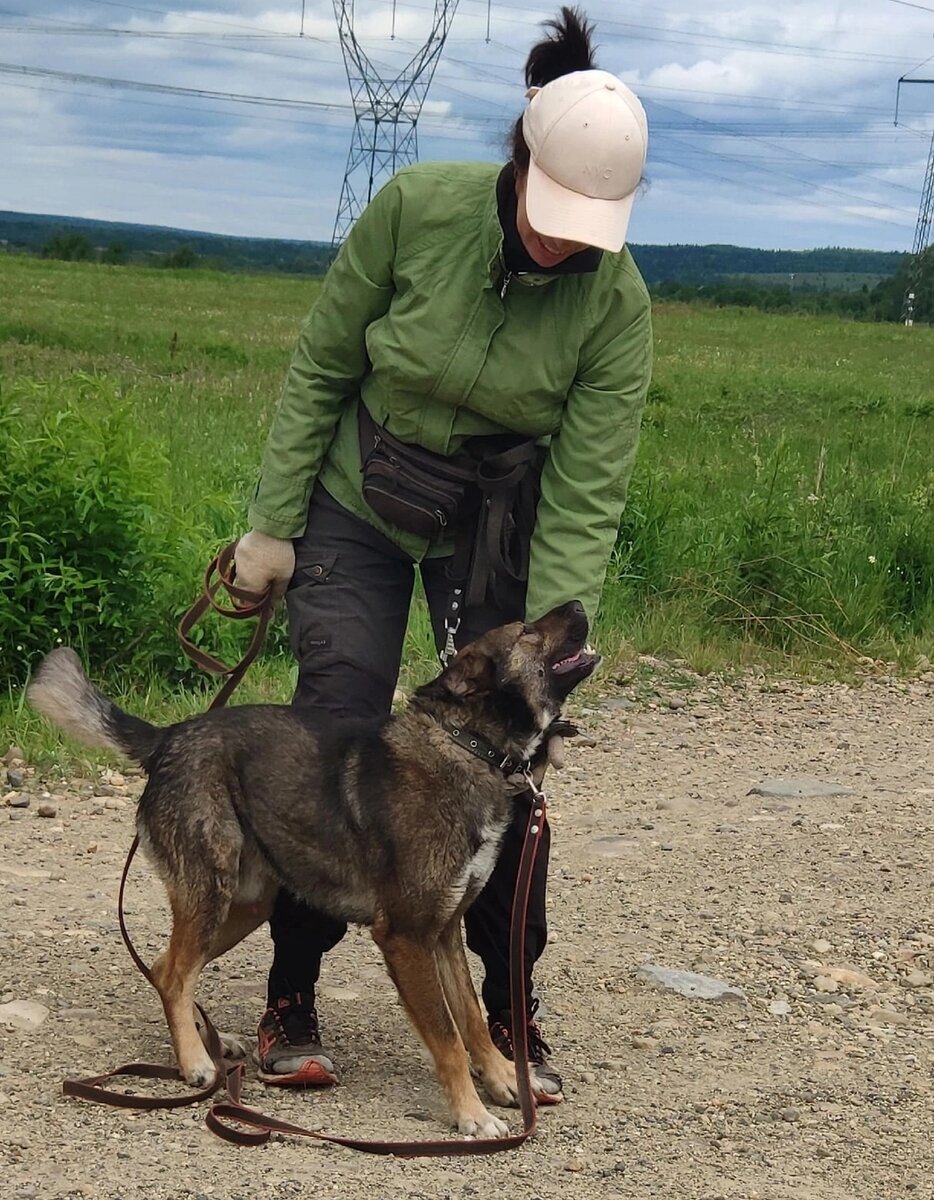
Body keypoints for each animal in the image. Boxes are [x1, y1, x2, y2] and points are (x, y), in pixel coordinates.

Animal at [29, 604, 600, 1137]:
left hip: (246, 905)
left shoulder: (444, 934)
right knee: (174, 973)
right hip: (212, 895)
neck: (468, 748)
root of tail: (167, 739)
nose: (576, 603)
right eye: (527, 632)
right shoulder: (407, 937)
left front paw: (503, 1077)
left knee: (166, 965)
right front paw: (471, 1113)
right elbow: (447, 1036)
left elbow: (473, 1021)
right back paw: (194, 1061)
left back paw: (208, 1041)